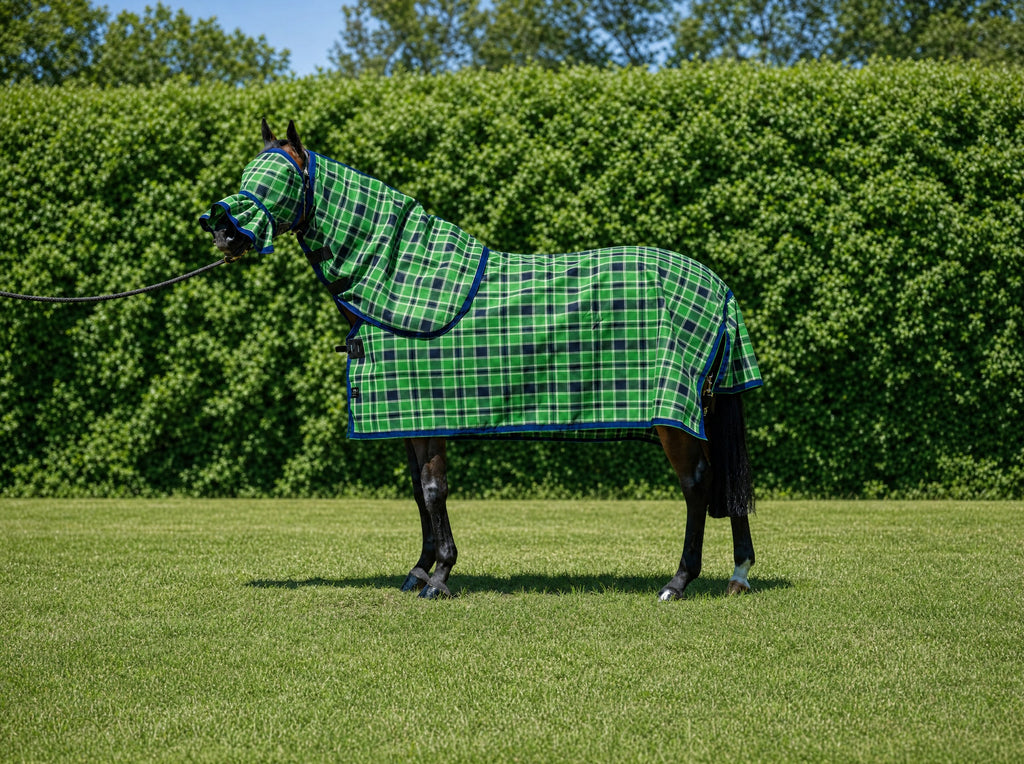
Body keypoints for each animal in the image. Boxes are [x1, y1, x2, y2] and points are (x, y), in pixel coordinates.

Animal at [201, 119, 762, 600]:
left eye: (277, 179)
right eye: (248, 176)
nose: (222, 234)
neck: (400, 279)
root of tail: (717, 286)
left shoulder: (428, 415)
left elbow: (433, 490)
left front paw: (440, 576)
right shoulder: (410, 419)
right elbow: (418, 492)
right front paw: (420, 569)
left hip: (674, 415)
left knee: (697, 484)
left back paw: (679, 581)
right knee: (723, 483)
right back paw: (737, 575)